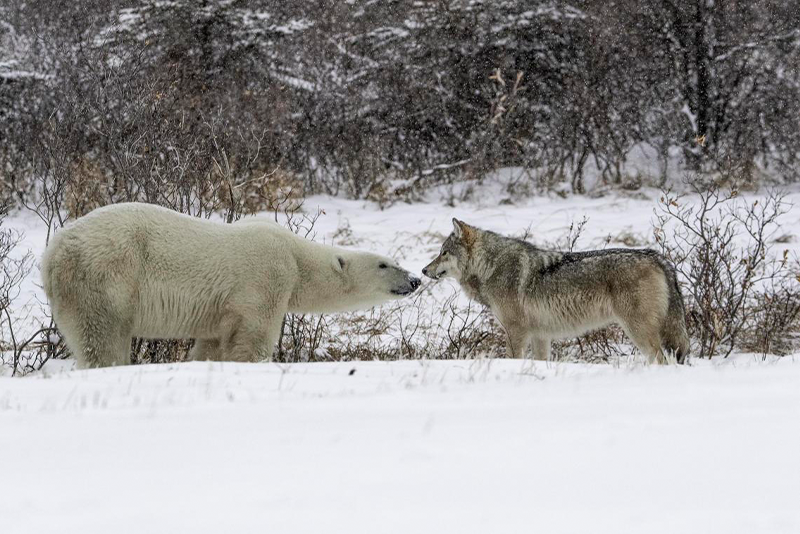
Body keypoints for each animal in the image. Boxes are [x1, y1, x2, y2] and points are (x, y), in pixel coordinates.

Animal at [40, 202, 422, 368]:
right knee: (103, 337)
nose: (415, 279)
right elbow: (253, 337)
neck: (295, 255)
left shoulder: (217, 311)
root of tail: (53, 251)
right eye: (385, 264)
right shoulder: (265, 277)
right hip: (105, 275)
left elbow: (211, 343)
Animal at [422, 219, 692, 364]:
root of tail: (657, 257)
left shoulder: (516, 332)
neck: (491, 266)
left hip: (637, 331)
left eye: (444, 252)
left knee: (660, 359)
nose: (424, 270)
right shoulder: (541, 335)